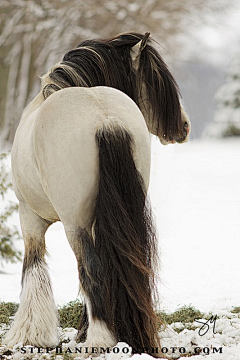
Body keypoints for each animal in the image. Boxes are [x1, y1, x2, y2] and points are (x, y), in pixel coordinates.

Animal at [3, 32, 190, 356]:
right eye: (154, 79)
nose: (184, 126)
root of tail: (104, 118)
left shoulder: (30, 219)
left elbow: (33, 270)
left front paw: (30, 334)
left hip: (74, 224)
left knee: (90, 268)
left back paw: (100, 338)